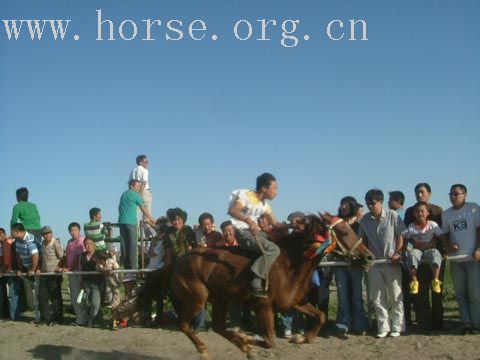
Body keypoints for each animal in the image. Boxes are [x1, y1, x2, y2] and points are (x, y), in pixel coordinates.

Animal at [172, 212, 376, 358]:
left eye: (351, 228)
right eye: (343, 232)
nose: (369, 257)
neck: (289, 263)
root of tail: (180, 259)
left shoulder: (294, 302)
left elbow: (321, 316)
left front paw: (300, 337)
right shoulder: (264, 307)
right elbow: (270, 341)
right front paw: (250, 340)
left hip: (219, 299)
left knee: (219, 327)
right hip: (197, 299)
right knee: (183, 324)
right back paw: (204, 348)